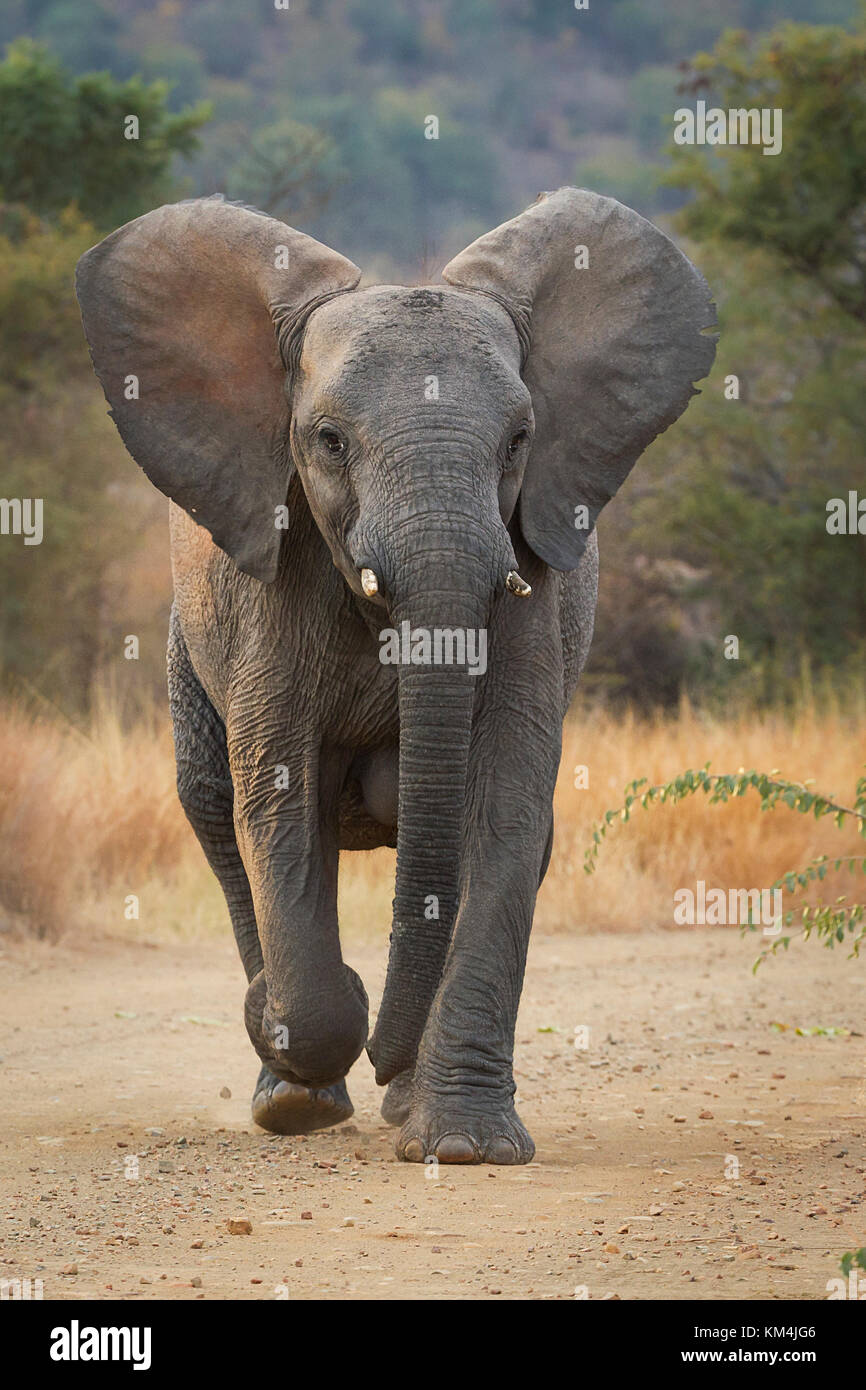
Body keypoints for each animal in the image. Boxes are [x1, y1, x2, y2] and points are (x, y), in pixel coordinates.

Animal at [76, 187, 715, 1164]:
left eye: (520, 440)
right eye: (329, 441)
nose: (383, 1057)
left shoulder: (532, 573)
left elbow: (505, 800)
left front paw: (466, 1148)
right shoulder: (274, 580)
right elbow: (277, 799)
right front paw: (305, 1037)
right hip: (190, 641)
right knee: (214, 810)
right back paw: (291, 1090)